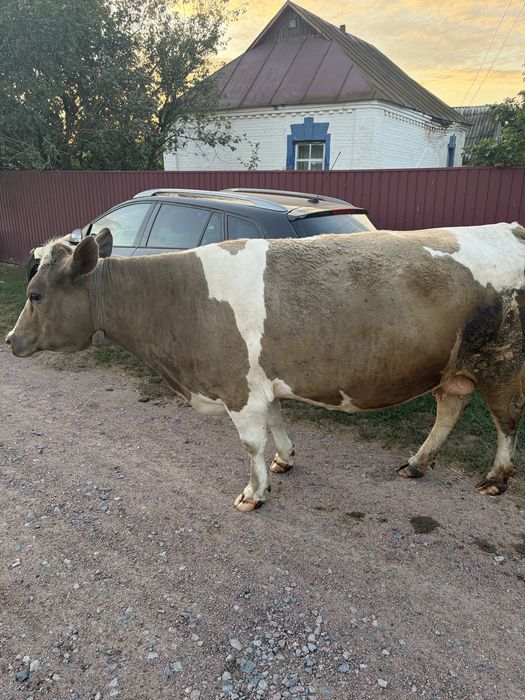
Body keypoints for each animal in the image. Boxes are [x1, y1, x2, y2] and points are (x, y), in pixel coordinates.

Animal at [6, 223, 525, 511]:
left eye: (36, 295)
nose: (10, 340)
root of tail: (509, 227)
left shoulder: (239, 390)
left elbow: (250, 443)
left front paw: (252, 494)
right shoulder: (261, 383)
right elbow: (276, 423)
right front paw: (285, 460)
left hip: (502, 362)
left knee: (505, 420)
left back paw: (495, 480)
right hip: (454, 366)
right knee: (450, 408)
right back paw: (416, 464)